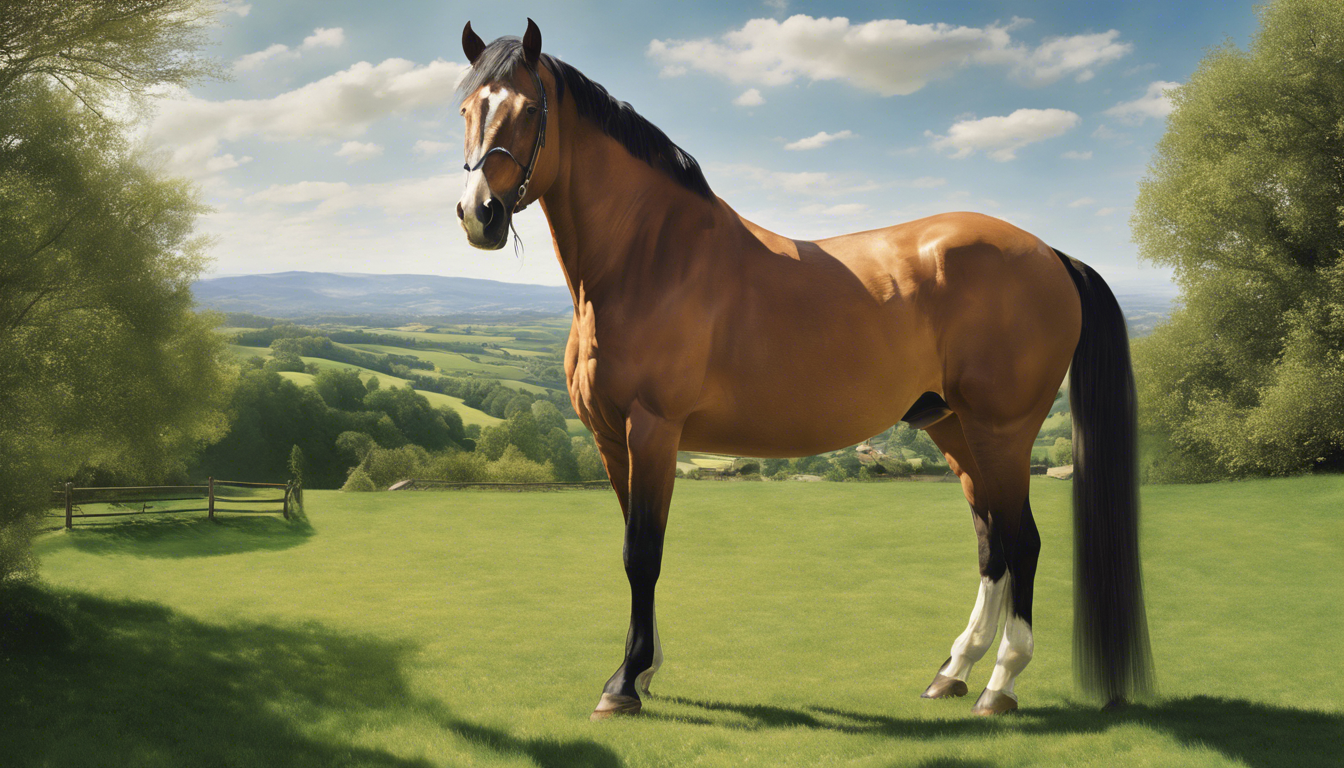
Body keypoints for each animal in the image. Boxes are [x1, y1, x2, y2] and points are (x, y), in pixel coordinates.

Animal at [454, 19, 1154, 720]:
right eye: (466, 109)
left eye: (527, 110)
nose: (479, 214)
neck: (652, 258)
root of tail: (1050, 254)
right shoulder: (608, 437)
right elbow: (634, 546)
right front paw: (644, 668)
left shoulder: (651, 430)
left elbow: (642, 554)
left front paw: (624, 684)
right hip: (955, 428)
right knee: (993, 543)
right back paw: (953, 671)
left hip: (1002, 431)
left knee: (1023, 542)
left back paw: (1000, 682)